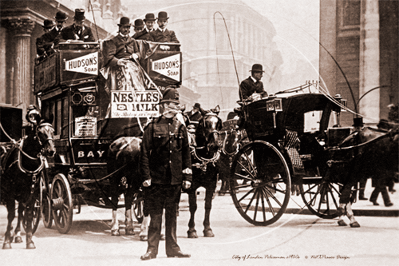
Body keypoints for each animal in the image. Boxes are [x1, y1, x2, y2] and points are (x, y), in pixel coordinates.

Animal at [0, 111, 55, 248]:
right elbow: (11, 215)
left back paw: (18, 235)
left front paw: (29, 241)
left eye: (53, 131)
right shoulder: (10, 192)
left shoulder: (32, 193)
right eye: (39, 132)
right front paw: (7, 241)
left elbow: (28, 215)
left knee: (20, 212)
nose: (51, 151)